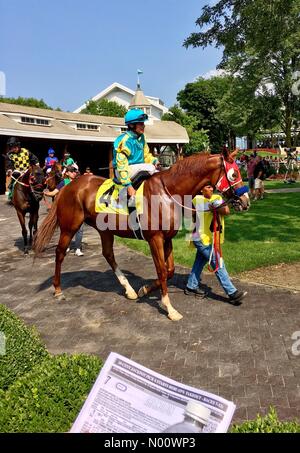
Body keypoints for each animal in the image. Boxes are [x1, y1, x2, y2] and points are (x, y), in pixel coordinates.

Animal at [32, 150, 250, 320]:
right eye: (233, 174)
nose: (246, 201)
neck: (167, 192)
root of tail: (68, 186)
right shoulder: (155, 239)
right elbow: (162, 271)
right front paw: (170, 308)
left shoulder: (167, 238)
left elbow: (169, 270)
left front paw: (144, 289)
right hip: (70, 227)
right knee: (60, 253)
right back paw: (58, 289)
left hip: (105, 230)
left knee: (108, 254)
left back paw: (128, 289)